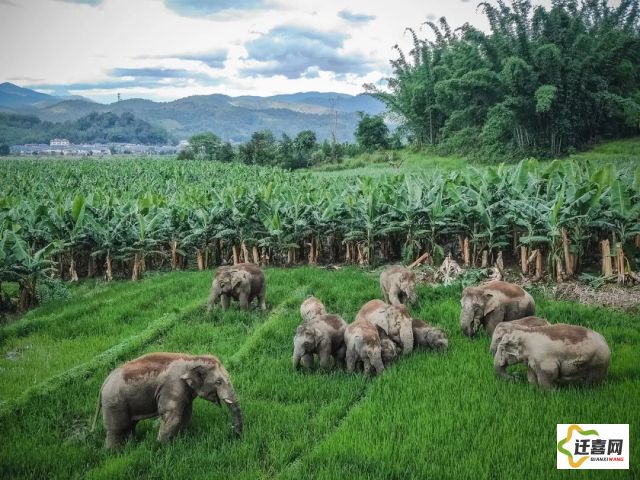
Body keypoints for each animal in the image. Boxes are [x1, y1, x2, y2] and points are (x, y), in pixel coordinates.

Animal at [94, 350, 244, 448]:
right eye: (219, 382)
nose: (234, 435)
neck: (192, 359)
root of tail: (103, 383)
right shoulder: (173, 386)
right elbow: (173, 416)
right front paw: (161, 447)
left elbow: (186, 414)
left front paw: (179, 440)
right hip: (114, 403)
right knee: (117, 429)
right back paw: (114, 453)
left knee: (129, 426)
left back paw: (131, 446)